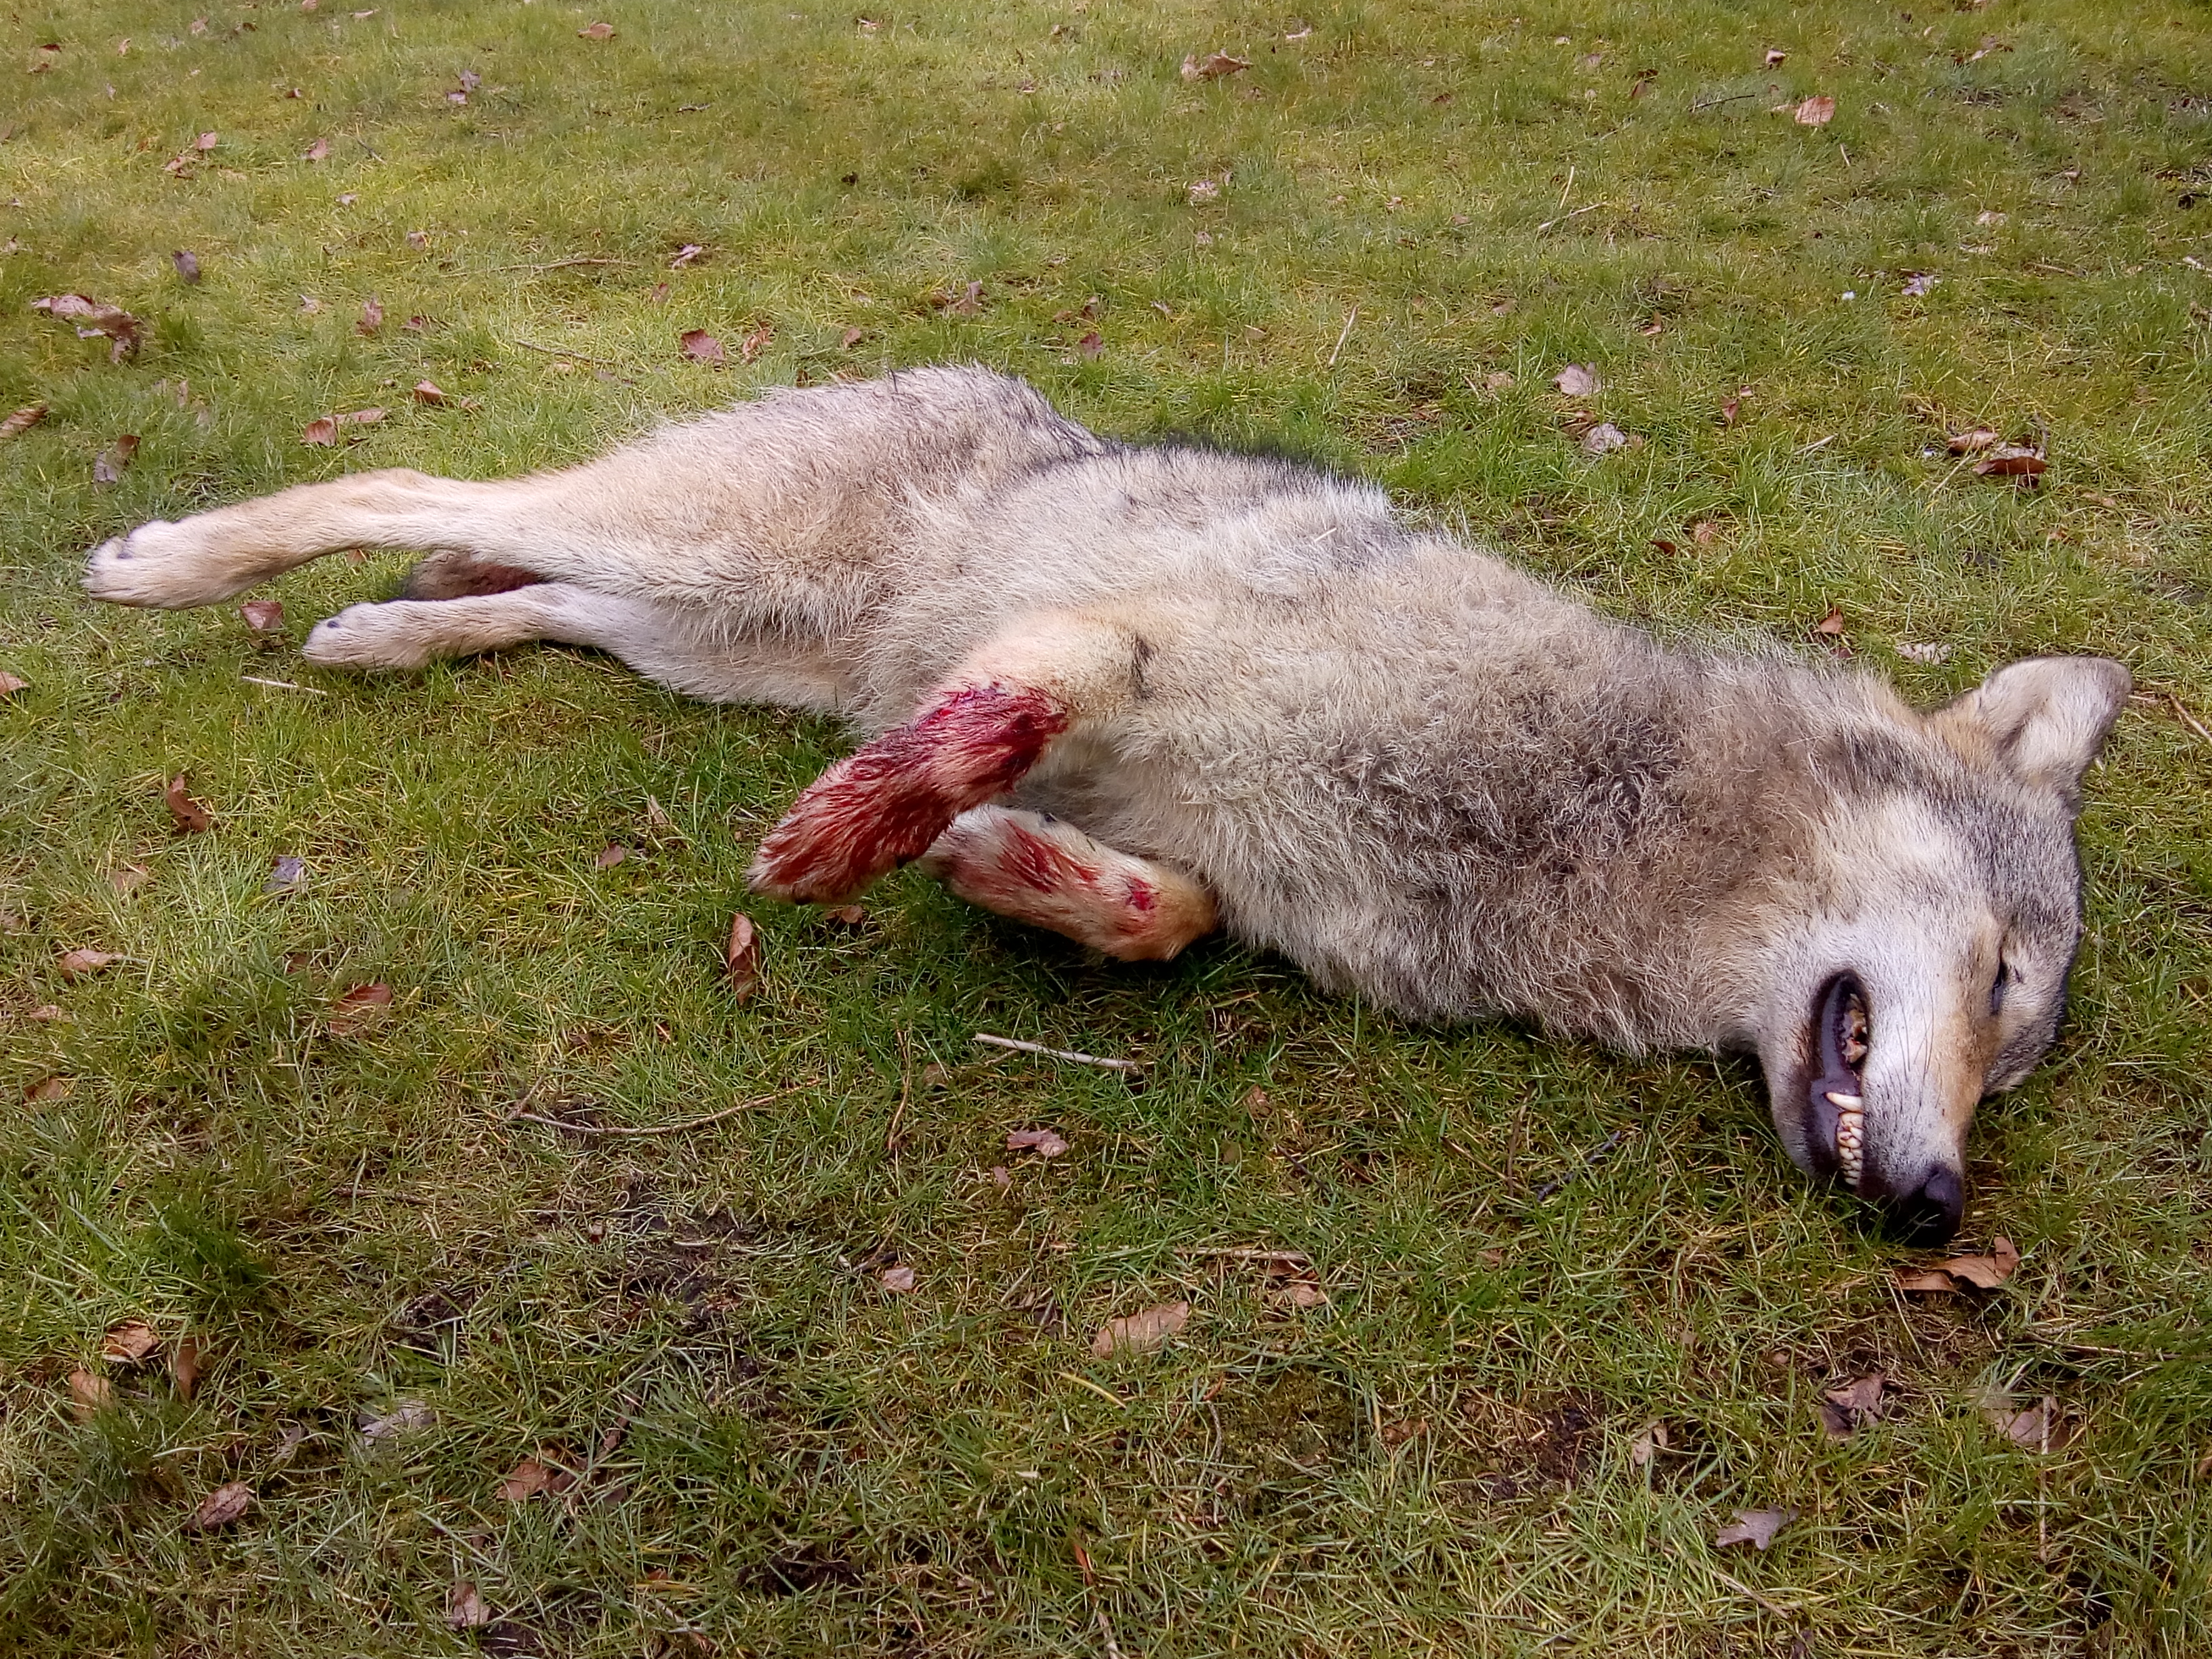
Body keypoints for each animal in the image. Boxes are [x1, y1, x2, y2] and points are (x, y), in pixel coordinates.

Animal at [81, 366, 2129, 1242]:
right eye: (2005, 982)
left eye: (2014, 1053)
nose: (1937, 1208)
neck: (1570, 822)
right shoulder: (1129, 632)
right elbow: (1031, 697)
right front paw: (904, 810)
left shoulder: (1234, 868)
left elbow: (1167, 912)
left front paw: (1016, 868)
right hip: (694, 555)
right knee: (412, 477)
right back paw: (174, 563)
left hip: (709, 638)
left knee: (515, 583)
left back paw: (386, 632)